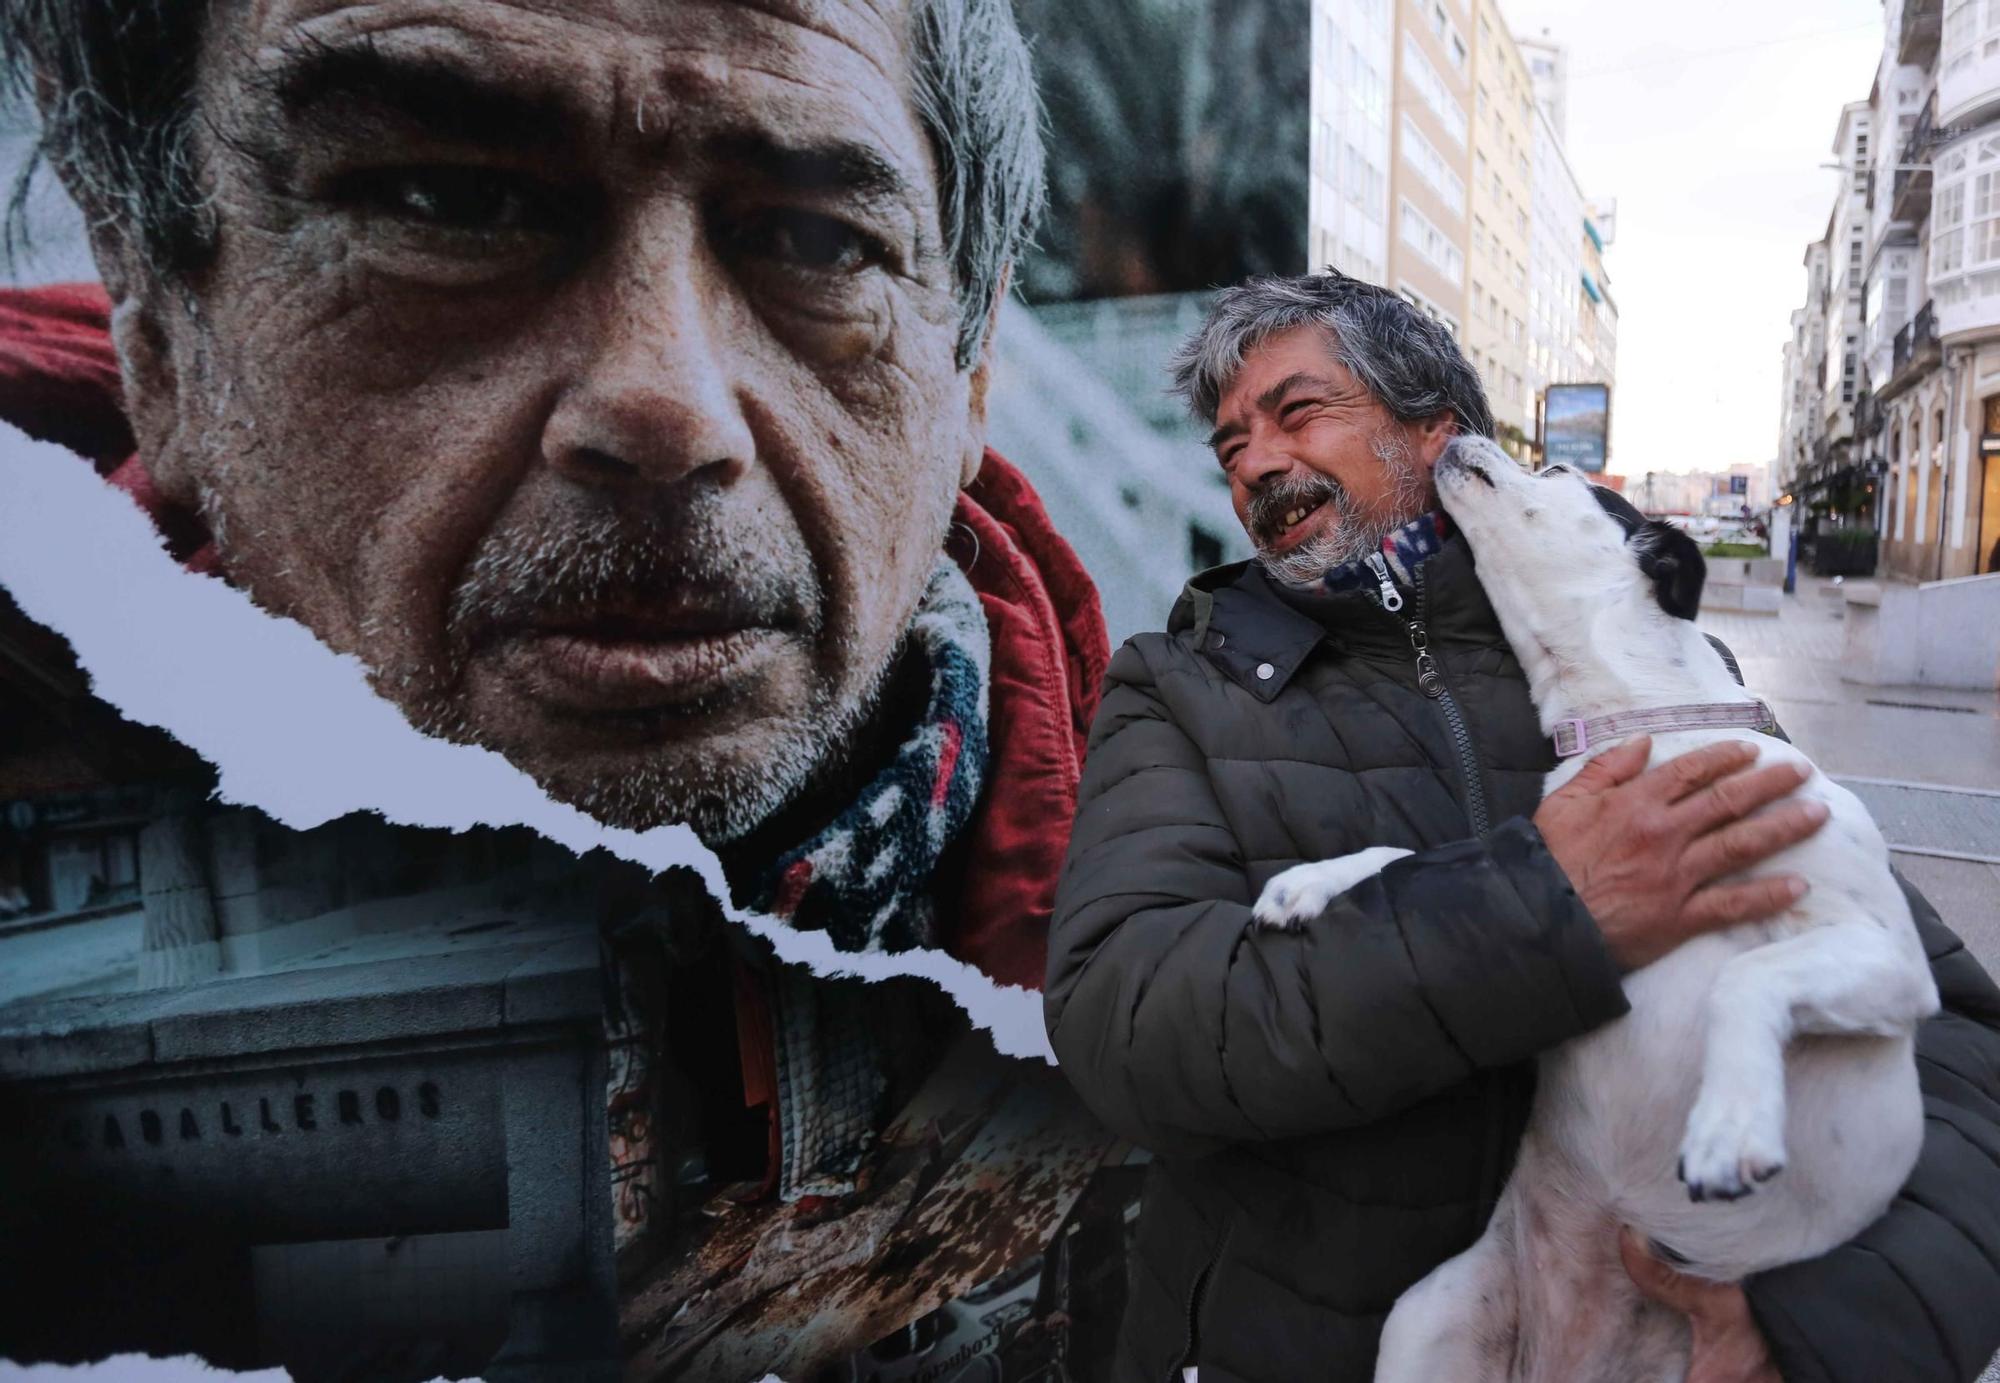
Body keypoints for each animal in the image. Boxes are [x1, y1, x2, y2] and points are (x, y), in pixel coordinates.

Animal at [1248, 439, 1936, 1383]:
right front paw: (1317, 878)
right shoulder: (1549, 856)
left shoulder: (1892, 960)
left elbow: (1751, 973)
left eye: (1562, 478)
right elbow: (1416, 856)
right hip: (1424, 1322)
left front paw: (1731, 1121)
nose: (1465, 439)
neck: (1640, 725)